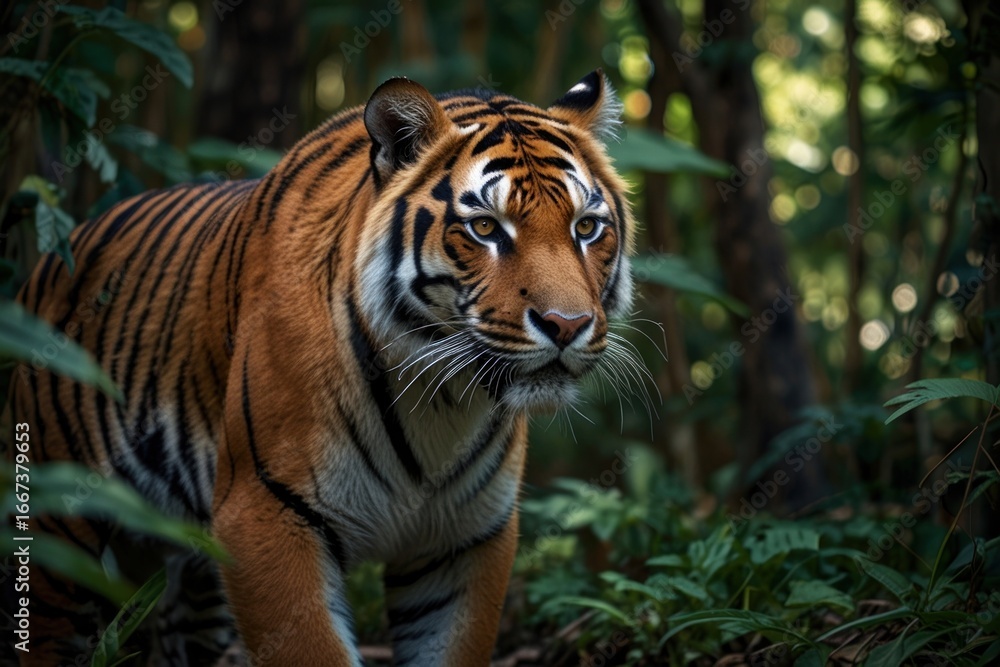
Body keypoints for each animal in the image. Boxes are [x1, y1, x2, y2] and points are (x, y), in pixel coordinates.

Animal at [6, 69, 636, 666]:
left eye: (585, 227)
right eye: (485, 228)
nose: (567, 325)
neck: (443, 402)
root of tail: (57, 251)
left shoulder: (465, 542)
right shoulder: (265, 517)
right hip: (58, 530)